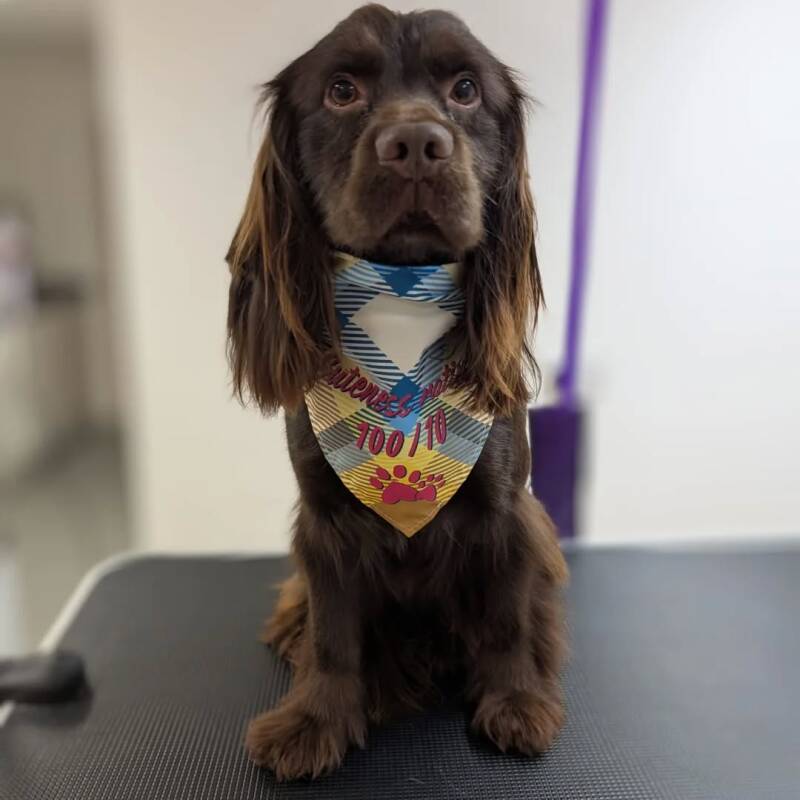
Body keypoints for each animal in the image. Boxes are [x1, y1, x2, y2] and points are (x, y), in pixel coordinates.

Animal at [226, 4, 568, 781]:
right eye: (342, 90)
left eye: (466, 90)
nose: (416, 144)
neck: (400, 298)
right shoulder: (324, 521)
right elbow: (332, 632)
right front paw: (315, 720)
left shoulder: (507, 512)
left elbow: (506, 616)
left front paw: (515, 701)